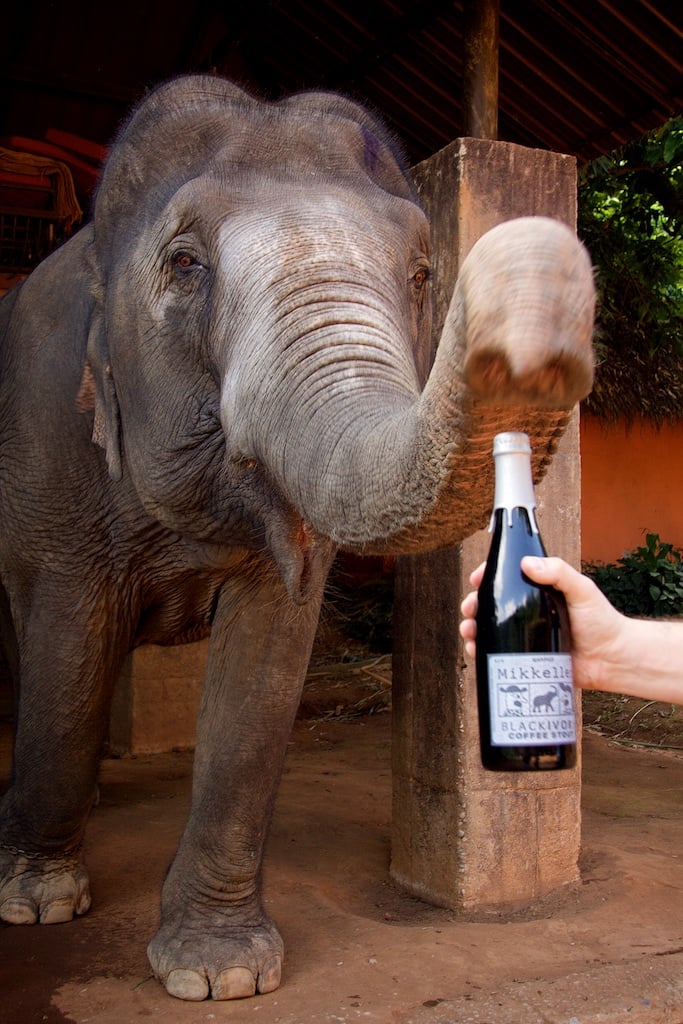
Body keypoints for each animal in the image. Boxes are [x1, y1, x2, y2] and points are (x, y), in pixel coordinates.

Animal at [0, 74, 595, 1001]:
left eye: (421, 272)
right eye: (185, 265)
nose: (537, 254)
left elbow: (267, 662)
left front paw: (220, 974)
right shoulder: (50, 447)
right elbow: (68, 643)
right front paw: (37, 904)